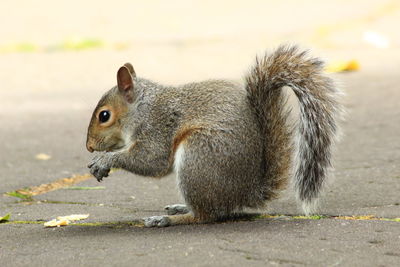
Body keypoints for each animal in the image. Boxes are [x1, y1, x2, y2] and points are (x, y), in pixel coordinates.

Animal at [86, 45, 342, 227]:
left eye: (104, 115)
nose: (88, 146)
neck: (142, 108)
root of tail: (248, 192)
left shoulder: (157, 127)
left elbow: (152, 160)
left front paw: (105, 160)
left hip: (199, 156)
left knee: (206, 215)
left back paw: (169, 219)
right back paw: (180, 208)